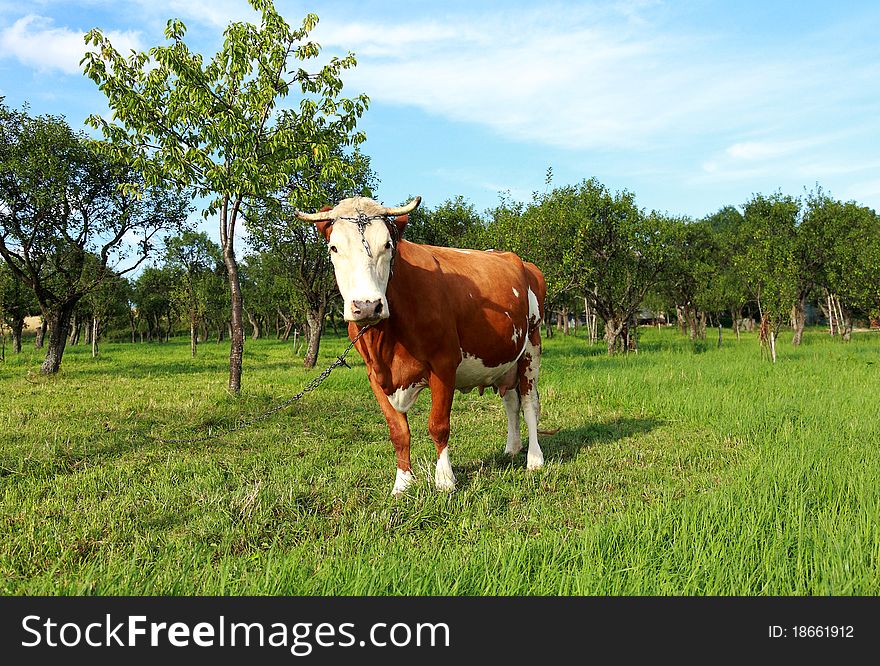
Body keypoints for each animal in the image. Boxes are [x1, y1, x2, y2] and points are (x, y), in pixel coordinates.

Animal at [296, 196, 544, 492]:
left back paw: (534, 459)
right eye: (334, 248)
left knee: (529, 403)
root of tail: (521, 262)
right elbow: (398, 431)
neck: (387, 340)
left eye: (387, 245)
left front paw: (445, 479)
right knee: (511, 402)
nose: (367, 305)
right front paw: (402, 483)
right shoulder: (374, 374)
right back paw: (512, 448)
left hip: (531, 347)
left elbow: (438, 424)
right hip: (504, 360)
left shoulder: (444, 364)